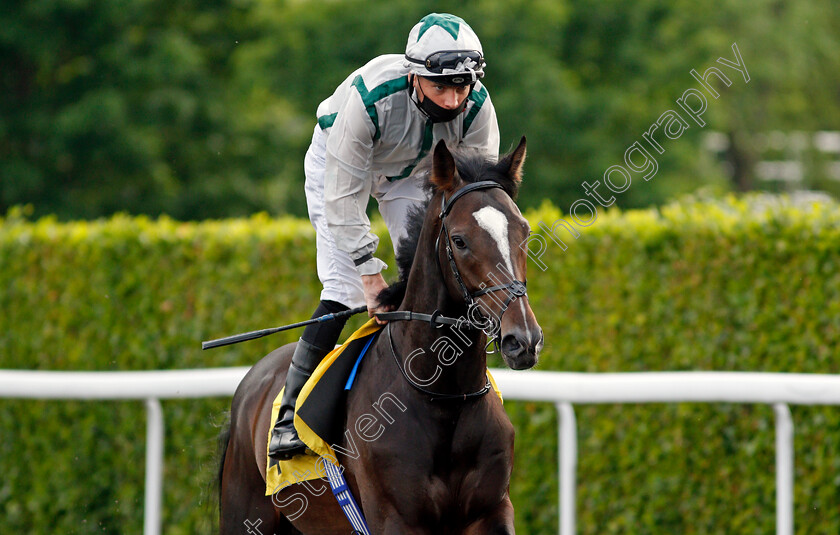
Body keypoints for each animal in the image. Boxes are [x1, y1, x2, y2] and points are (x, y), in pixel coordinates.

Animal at [220, 139, 540, 535]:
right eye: (460, 240)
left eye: (524, 231)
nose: (523, 339)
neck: (445, 398)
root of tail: (253, 380)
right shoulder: (396, 518)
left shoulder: (490, 512)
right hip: (245, 512)